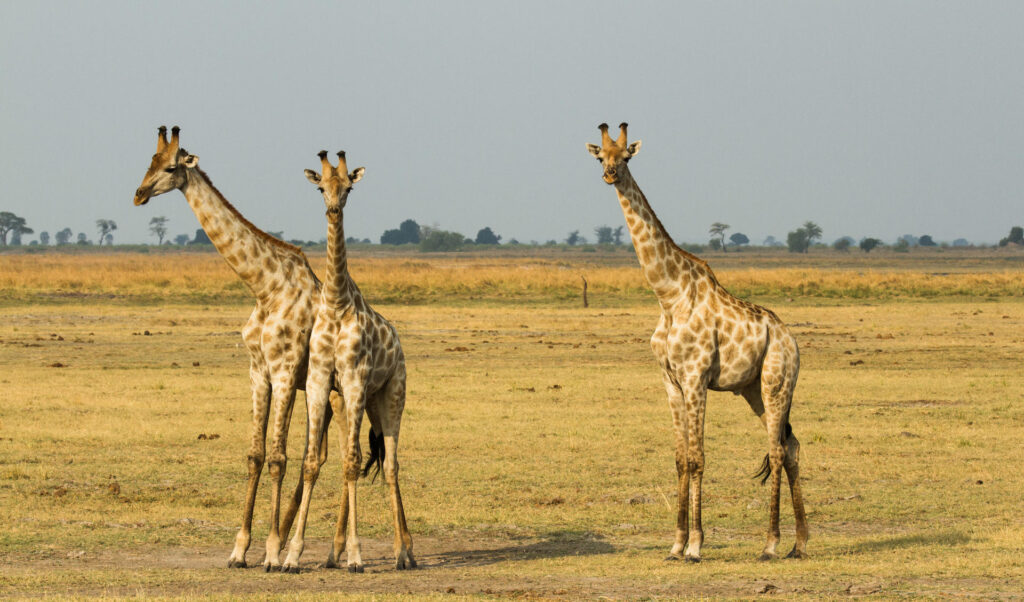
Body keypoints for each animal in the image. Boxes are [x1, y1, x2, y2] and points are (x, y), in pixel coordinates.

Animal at [132, 126, 331, 569]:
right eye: (149, 162)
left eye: (170, 168)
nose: (138, 194)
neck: (265, 287)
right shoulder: (258, 372)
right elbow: (255, 455)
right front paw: (240, 549)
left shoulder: (284, 370)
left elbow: (277, 457)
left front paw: (271, 552)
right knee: (326, 453)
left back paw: (306, 548)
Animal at [280, 150, 415, 573]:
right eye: (321, 187)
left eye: (350, 188)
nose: (333, 209)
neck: (337, 302)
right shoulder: (321, 379)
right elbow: (312, 461)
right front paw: (291, 555)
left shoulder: (354, 378)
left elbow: (354, 461)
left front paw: (356, 555)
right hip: (362, 401)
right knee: (369, 458)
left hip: (391, 395)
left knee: (390, 465)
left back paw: (403, 553)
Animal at [585, 123, 806, 565]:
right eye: (601, 156)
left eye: (627, 157)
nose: (610, 175)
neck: (668, 296)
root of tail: (792, 341)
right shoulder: (671, 383)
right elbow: (680, 460)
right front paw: (675, 544)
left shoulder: (696, 379)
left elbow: (698, 458)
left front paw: (696, 546)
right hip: (752, 390)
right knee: (789, 445)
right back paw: (801, 542)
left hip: (776, 383)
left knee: (776, 451)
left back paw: (771, 544)